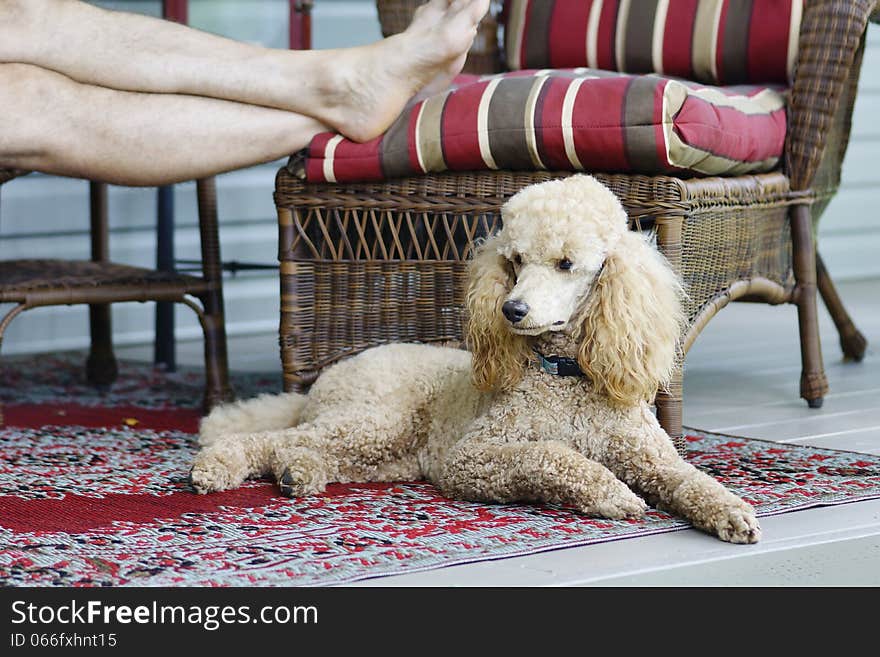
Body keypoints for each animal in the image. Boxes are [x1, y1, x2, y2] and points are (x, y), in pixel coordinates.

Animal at [192, 174, 764, 544]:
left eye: (566, 263)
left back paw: (298, 474)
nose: (512, 310)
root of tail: (330, 374)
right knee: (269, 438)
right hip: (378, 418)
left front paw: (731, 511)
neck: (566, 376)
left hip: (387, 451)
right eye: (514, 261)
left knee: (306, 449)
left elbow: (691, 480)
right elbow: (550, 455)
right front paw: (609, 491)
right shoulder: (472, 456)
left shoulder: (654, 458)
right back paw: (217, 466)